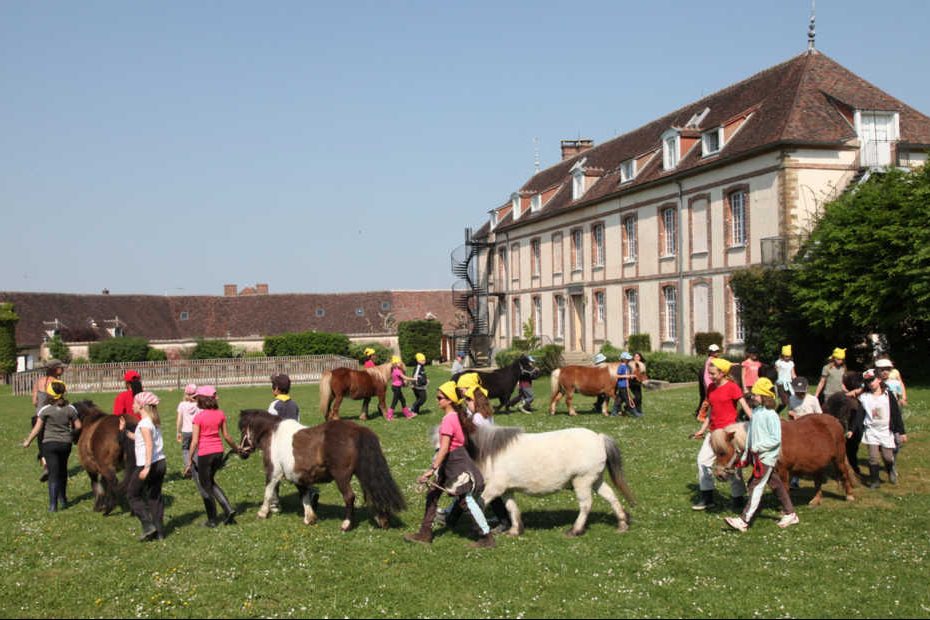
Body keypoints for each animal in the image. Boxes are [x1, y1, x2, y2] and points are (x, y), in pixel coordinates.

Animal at [236, 410, 402, 532]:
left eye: (242, 430)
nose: (241, 453)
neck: (274, 434)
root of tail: (358, 430)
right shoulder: (298, 476)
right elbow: (304, 496)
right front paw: (310, 518)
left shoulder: (273, 472)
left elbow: (268, 492)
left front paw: (262, 513)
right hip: (364, 473)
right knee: (374, 492)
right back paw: (382, 520)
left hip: (341, 477)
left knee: (350, 497)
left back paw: (346, 524)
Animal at [468, 424, 636, 536]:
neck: (490, 453)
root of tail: (599, 438)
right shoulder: (506, 490)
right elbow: (511, 508)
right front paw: (515, 531)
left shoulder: (494, 488)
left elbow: (480, 503)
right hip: (596, 481)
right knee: (611, 496)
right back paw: (622, 524)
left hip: (582, 481)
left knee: (586, 505)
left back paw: (575, 530)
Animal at [712, 414, 856, 506]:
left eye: (722, 452)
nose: (719, 475)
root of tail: (836, 421)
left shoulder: (783, 470)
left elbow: (784, 489)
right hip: (817, 464)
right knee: (818, 481)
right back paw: (815, 500)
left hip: (838, 459)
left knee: (844, 473)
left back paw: (849, 495)